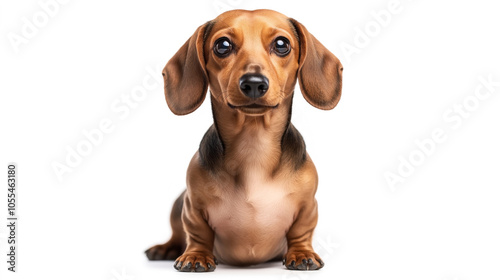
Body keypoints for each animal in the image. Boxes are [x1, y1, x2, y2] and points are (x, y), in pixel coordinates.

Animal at [145, 8, 340, 272]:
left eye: (282, 44)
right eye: (223, 45)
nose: (254, 83)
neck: (253, 145)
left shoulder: (308, 205)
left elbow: (302, 230)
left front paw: (302, 254)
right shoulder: (192, 206)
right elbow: (197, 232)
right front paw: (196, 256)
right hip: (178, 203)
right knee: (178, 234)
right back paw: (165, 248)